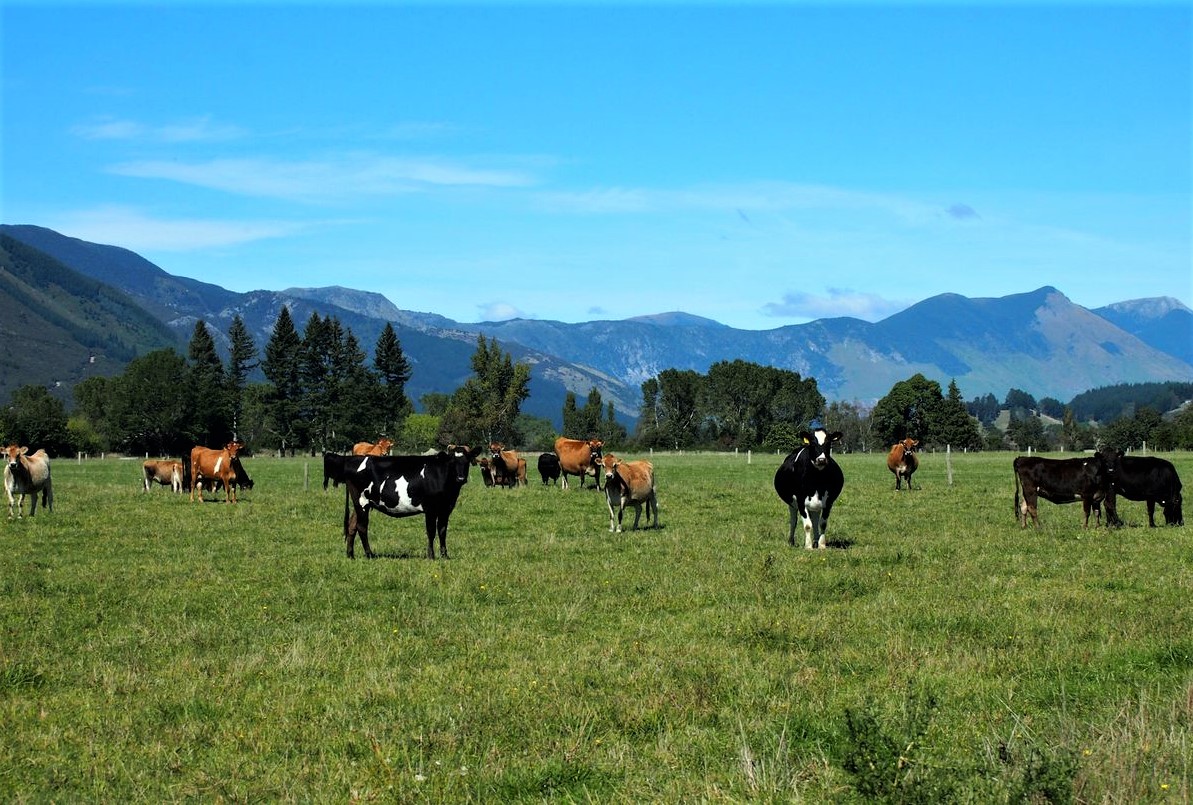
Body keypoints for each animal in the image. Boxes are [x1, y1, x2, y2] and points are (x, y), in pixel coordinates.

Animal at [341, 443, 479, 558]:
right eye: (452, 462)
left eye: (467, 461)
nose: (461, 478)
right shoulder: (430, 509)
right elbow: (431, 531)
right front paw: (431, 556)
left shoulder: (445, 509)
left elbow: (442, 531)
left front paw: (445, 556)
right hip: (362, 502)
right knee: (362, 527)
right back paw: (369, 554)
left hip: (361, 504)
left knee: (352, 525)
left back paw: (350, 555)